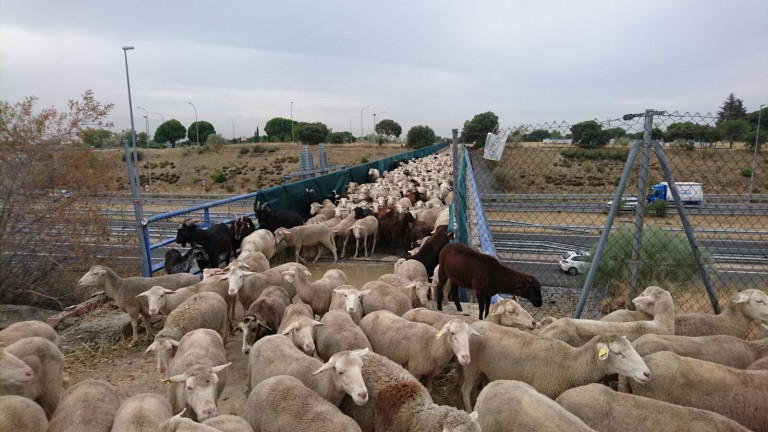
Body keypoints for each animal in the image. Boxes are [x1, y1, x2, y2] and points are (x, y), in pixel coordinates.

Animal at [461, 320, 650, 411]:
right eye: (618, 352)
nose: (647, 373)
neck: (570, 366)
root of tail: (475, 323)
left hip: (481, 370)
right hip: (471, 366)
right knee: (465, 389)